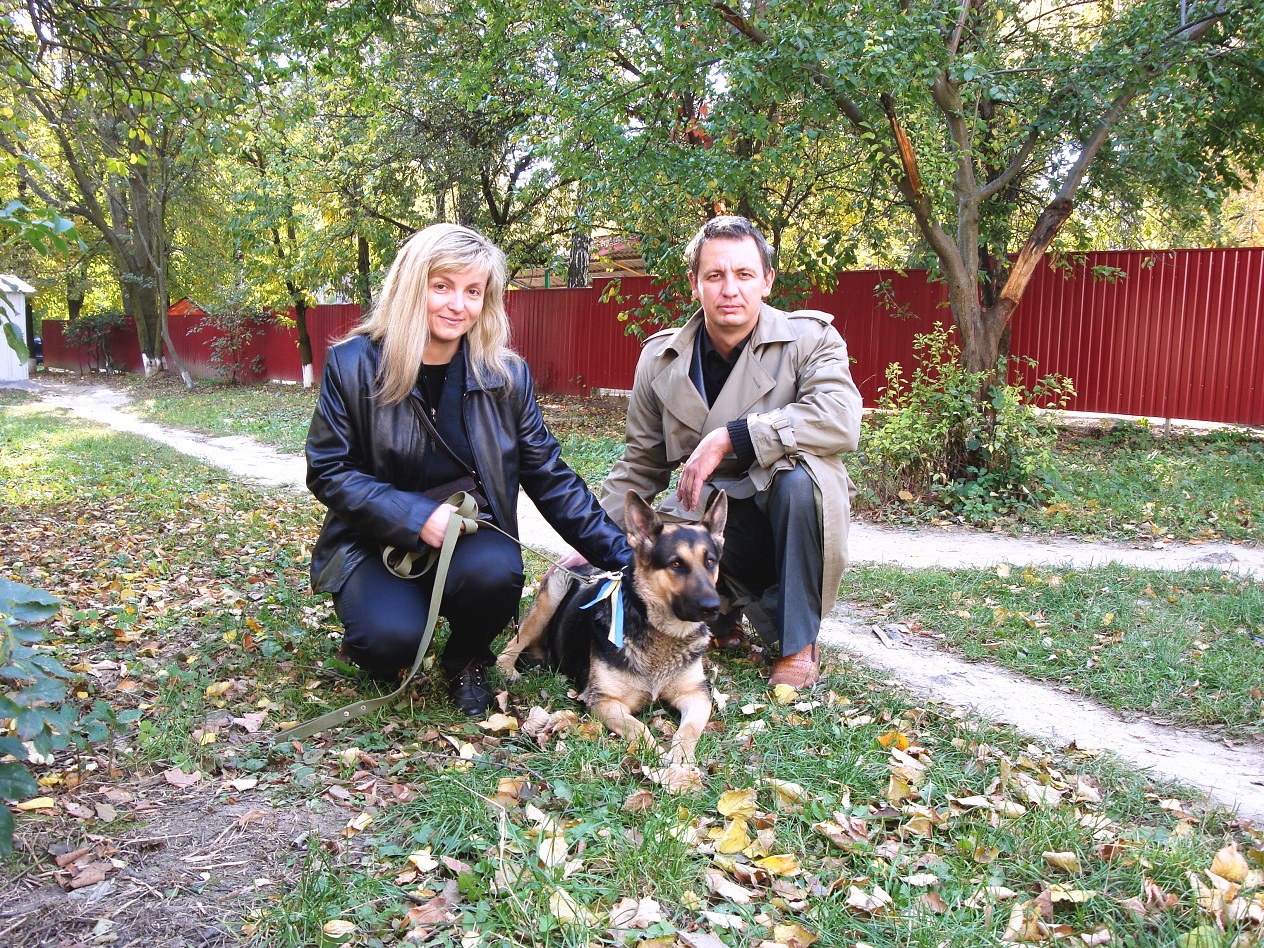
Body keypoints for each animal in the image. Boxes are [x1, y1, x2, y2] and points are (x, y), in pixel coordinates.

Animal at [497, 489, 727, 784]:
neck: (661, 633)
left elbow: (688, 731)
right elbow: (639, 728)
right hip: (552, 596)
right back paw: (506, 667)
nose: (713, 607)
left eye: (710, 562)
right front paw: (657, 757)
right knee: (515, 640)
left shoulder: (696, 695)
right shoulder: (604, 702)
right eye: (676, 564)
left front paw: (680, 757)